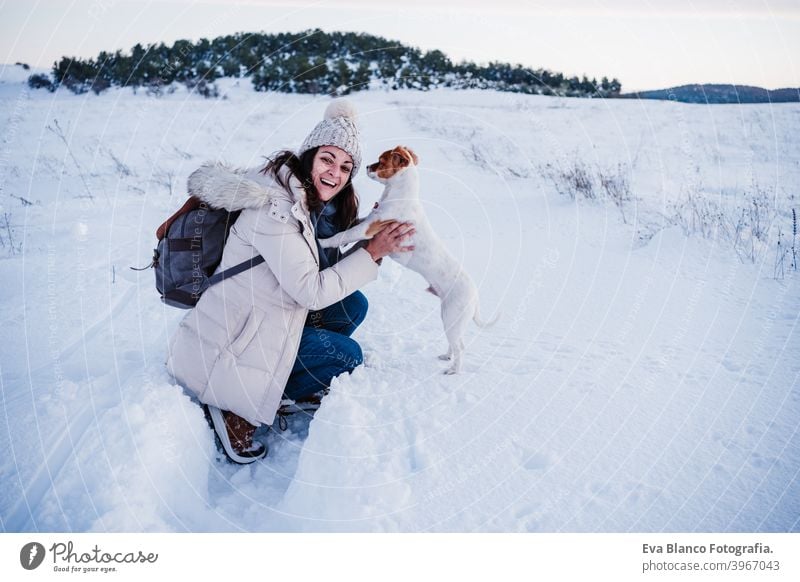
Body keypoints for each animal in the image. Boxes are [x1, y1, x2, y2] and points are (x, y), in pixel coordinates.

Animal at [318, 146, 494, 374]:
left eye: (381, 161)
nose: (367, 166)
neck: (399, 195)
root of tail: (474, 294)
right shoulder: (368, 222)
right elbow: (352, 224)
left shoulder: (368, 228)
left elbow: (343, 235)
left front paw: (323, 242)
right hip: (449, 318)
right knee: (455, 344)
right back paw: (446, 356)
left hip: (452, 317)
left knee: (461, 347)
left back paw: (453, 370)